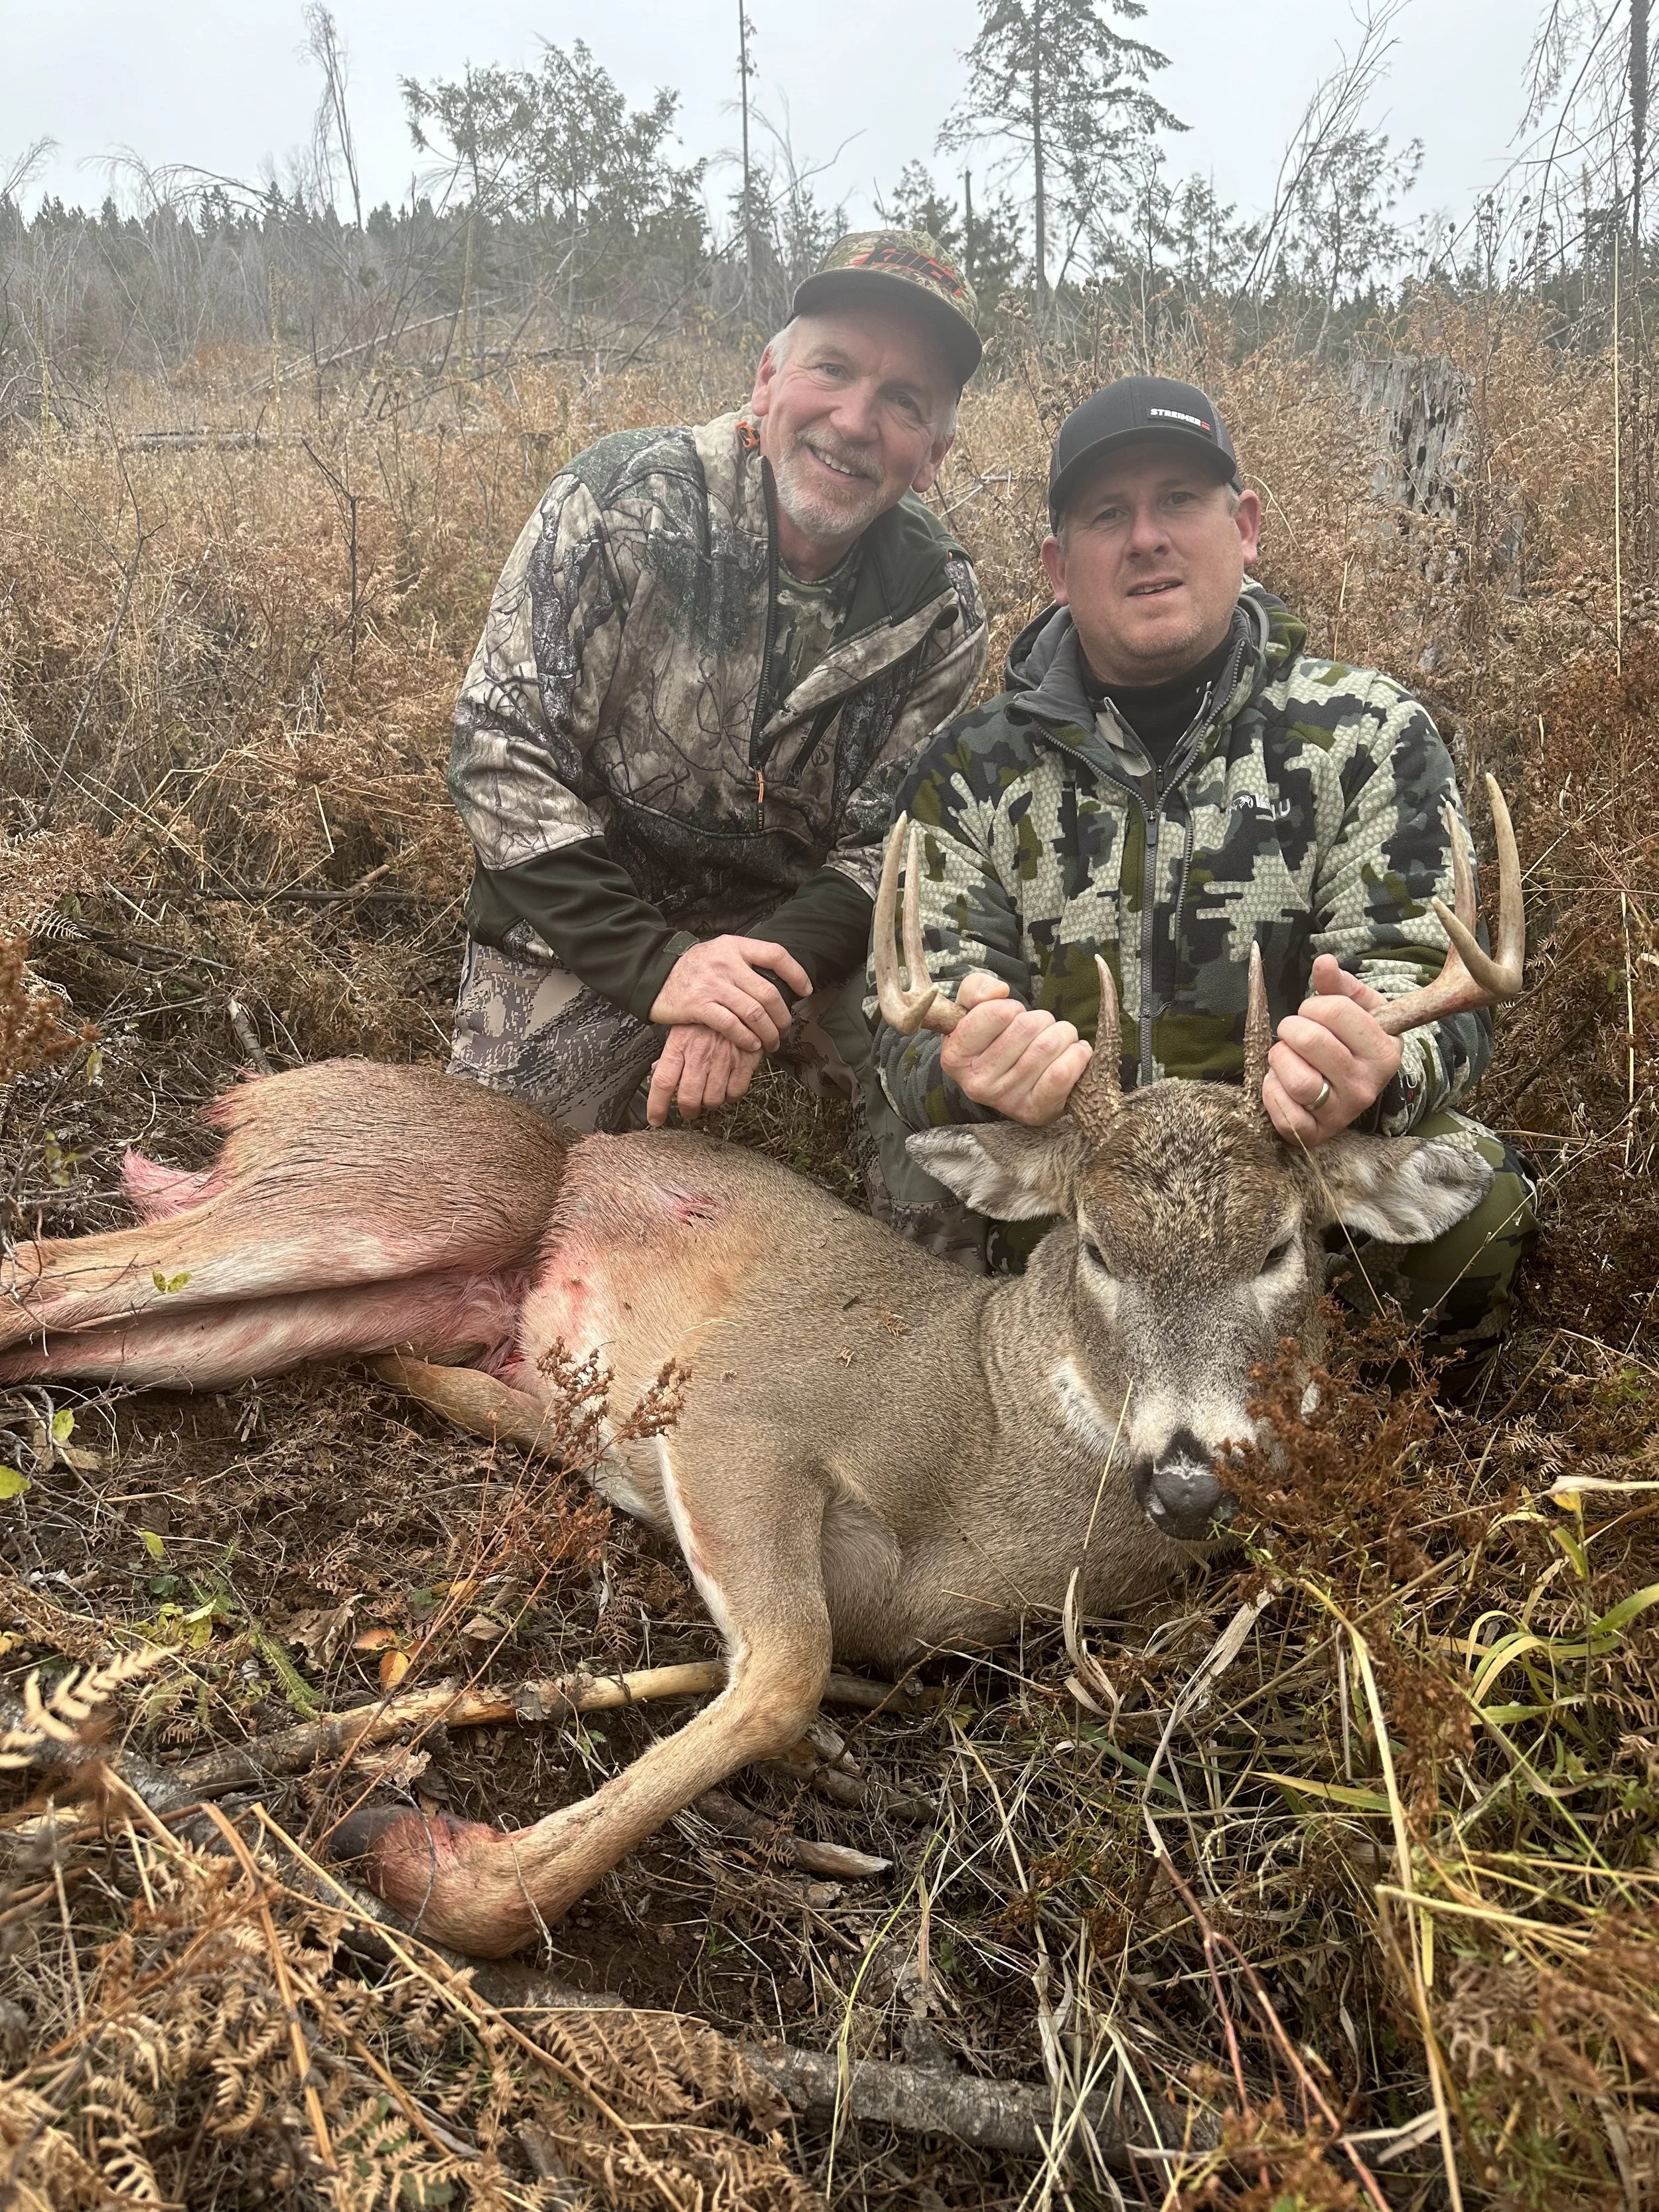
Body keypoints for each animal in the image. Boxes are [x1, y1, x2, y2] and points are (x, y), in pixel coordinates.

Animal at [0, 784, 1525, 1958]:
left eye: (1284, 1246)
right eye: (1093, 1241)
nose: (1191, 1478)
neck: (983, 1453)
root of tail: (268, 1090)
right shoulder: (744, 1416)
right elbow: (785, 1669)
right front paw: (424, 1853)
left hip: (331, 1291)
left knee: (122, 1326)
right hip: (396, 1194)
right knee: (46, 1268)